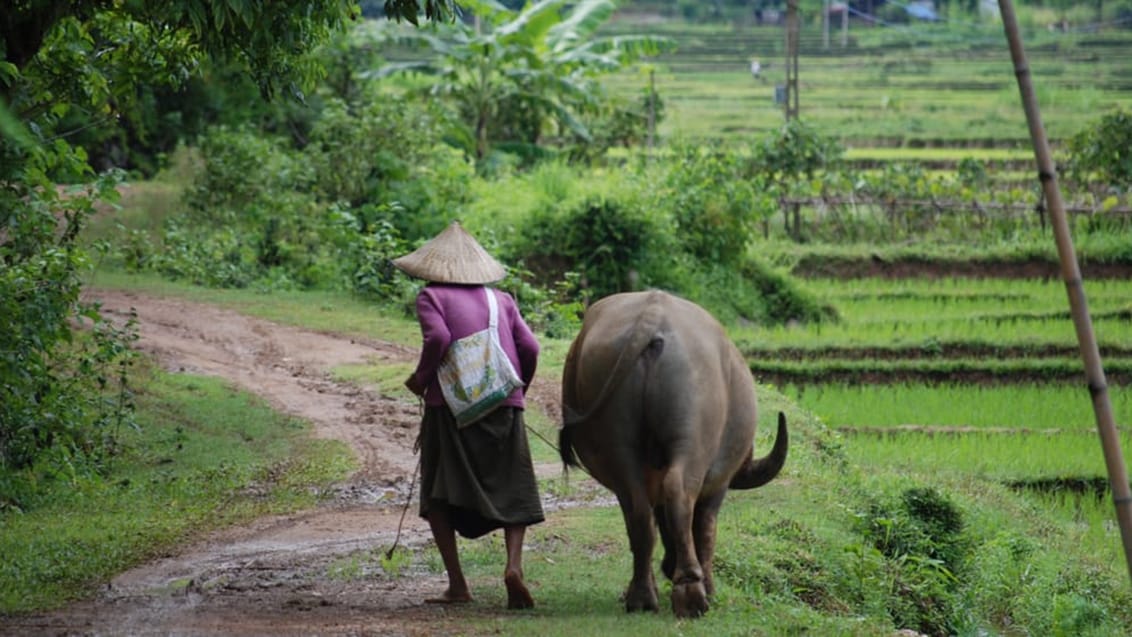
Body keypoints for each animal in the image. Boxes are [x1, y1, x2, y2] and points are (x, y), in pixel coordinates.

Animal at [556, 291, 787, 620]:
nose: (668, 565)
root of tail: (652, 318)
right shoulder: (719, 483)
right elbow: (704, 527)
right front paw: (710, 586)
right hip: (693, 434)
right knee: (679, 494)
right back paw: (692, 592)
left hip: (619, 441)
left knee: (638, 512)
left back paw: (642, 596)